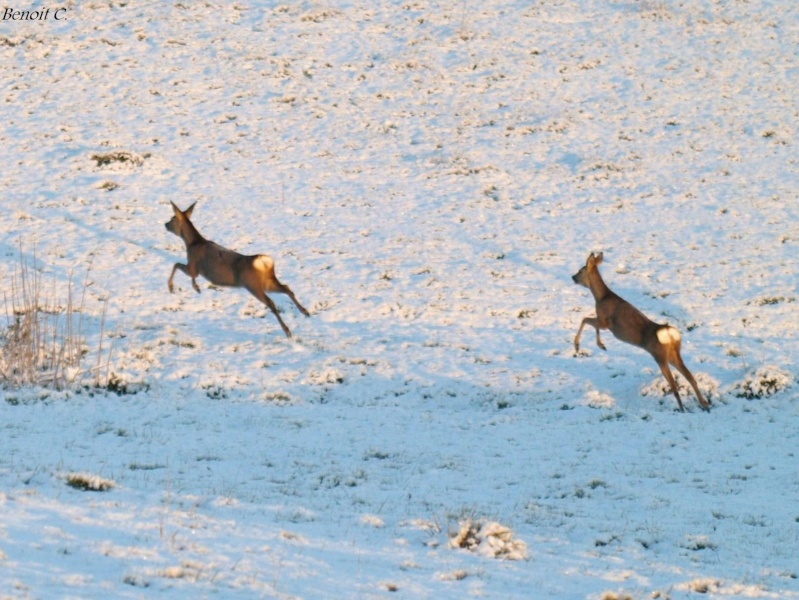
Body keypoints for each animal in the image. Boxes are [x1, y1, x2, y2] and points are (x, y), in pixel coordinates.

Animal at [165, 202, 310, 338]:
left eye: (172, 218)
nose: (165, 224)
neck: (191, 244)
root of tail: (263, 262)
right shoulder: (194, 269)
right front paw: (196, 288)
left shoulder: (193, 266)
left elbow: (176, 265)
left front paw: (174, 287)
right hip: (268, 282)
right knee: (287, 288)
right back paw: (305, 312)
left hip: (253, 285)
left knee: (271, 302)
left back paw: (288, 331)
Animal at [572, 252, 708, 412]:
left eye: (580, 270)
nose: (573, 277)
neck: (601, 297)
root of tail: (668, 333)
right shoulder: (603, 323)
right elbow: (591, 324)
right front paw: (601, 345)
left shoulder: (605, 322)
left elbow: (585, 320)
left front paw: (578, 346)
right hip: (674, 354)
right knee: (690, 377)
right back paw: (704, 404)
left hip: (660, 356)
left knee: (674, 385)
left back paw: (682, 409)